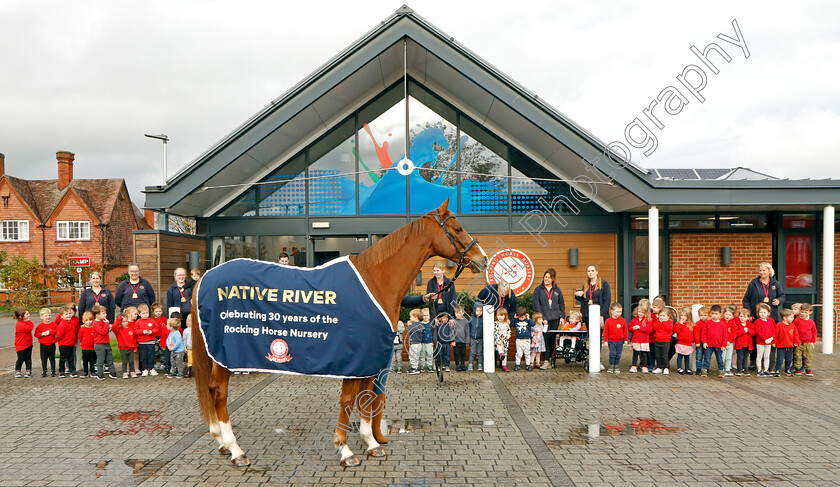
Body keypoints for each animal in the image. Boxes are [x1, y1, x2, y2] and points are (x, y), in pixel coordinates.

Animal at [191, 200, 488, 468]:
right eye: (458, 228)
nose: (482, 260)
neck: (375, 281)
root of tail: (206, 276)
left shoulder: (370, 358)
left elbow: (367, 399)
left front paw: (371, 443)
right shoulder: (354, 358)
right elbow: (348, 401)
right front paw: (345, 450)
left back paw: (221, 442)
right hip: (225, 354)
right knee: (219, 392)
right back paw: (235, 449)